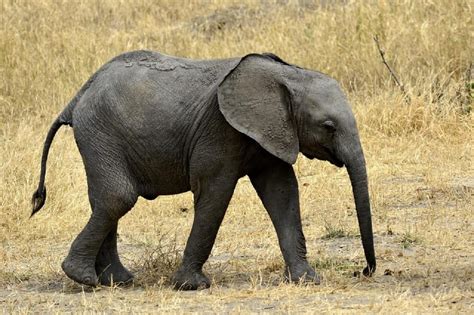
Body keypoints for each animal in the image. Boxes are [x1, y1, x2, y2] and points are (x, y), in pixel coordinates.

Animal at [31, 50, 376, 290]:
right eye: (328, 126)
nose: (364, 271)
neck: (287, 74)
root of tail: (77, 97)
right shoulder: (220, 130)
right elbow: (215, 193)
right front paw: (191, 286)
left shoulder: (272, 132)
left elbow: (283, 193)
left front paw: (307, 280)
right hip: (100, 133)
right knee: (118, 197)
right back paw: (84, 278)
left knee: (106, 200)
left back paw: (118, 281)